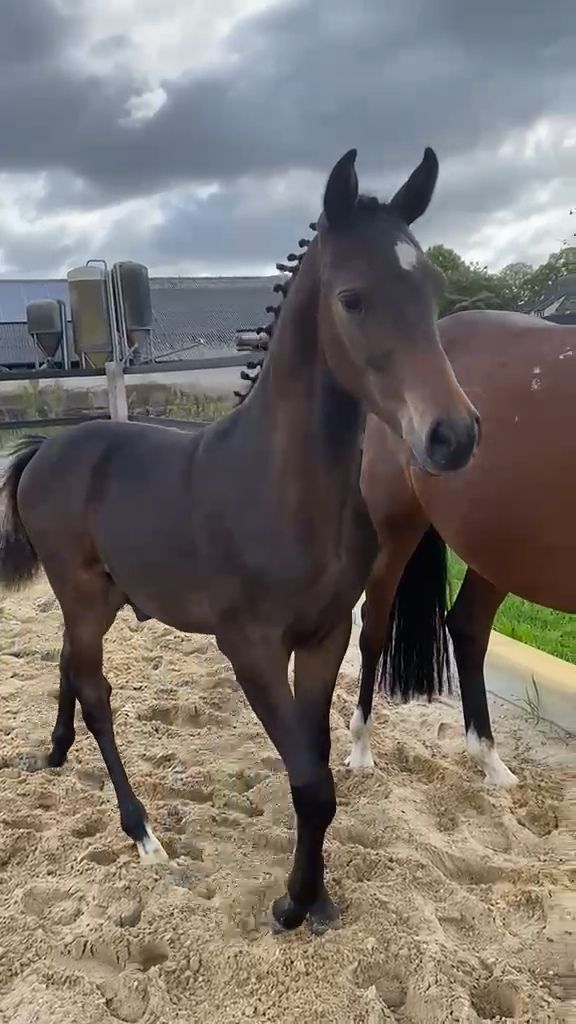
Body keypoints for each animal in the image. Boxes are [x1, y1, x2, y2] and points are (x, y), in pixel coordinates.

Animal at [0, 147, 479, 934]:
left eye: (434, 287)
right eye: (352, 298)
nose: (454, 436)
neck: (285, 492)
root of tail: (45, 448)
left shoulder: (324, 639)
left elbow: (317, 763)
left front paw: (319, 899)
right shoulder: (250, 648)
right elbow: (310, 782)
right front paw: (293, 904)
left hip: (101, 599)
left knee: (69, 665)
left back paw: (58, 754)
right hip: (81, 592)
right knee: (95, 689)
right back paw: (142, 832)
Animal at [347, 308, 576, 786]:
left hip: (499, 549)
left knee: (468, 627)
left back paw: (490, 762)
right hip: (395, 528)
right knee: (374, 626)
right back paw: (361, 748)